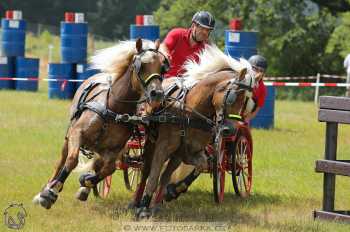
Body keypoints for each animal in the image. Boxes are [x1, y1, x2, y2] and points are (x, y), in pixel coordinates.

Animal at [33, 39, 168, 209]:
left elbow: (108, 169)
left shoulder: (113, 150)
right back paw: (46, 188)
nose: (157, 94)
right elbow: (72, 160)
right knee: (61, 160)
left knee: (98, 164)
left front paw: (86, 182)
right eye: (141, 66)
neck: (114, 108)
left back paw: (84, 188)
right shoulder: (77, 133)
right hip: (69, 135)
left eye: (162, 67)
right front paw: (50, 192)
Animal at [131, 44, 258, 218]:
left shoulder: (188, 152)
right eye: (232, 97)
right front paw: (144, 207)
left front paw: (173, 191)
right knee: (146, 172)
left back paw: (157, 203)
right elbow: (154, 175)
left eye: (247, 101)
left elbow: (202, 164)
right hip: (151, 143)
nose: (229, 130)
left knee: (165, 175)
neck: (189, 112)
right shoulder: (163, 147)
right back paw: (137, 203)